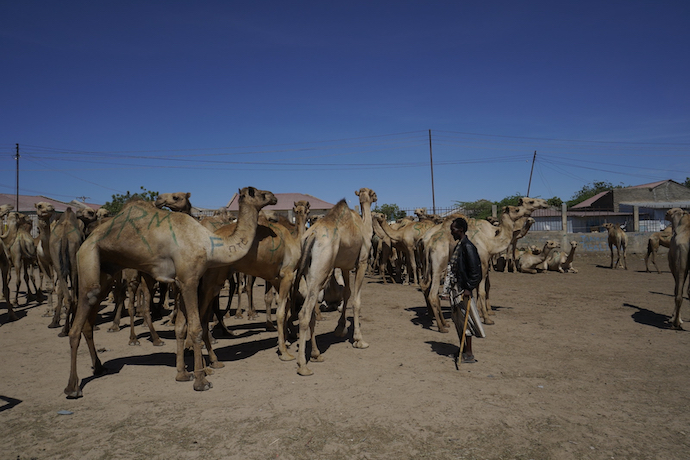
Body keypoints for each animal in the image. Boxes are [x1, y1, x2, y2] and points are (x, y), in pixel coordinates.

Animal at [63, 187, 274, 398]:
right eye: (259, 193)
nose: (273, 197)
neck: (209, 245)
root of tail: (87, 238)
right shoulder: (189, 280)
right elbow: (196, 328)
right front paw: (201, 380)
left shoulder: (181, 282)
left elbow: (181, 326)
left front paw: (183, 374)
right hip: (89, 256)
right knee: (78, 323)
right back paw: (73, 387)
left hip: (106, 271)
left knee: (89, 321)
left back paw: (99, 367)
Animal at [290, 188, 376, 378]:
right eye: (372, 193)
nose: (376, 197)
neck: (364, 227)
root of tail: (311, 236)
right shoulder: (362, 262)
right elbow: (356, 301)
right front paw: (359, 340)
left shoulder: (344, 266)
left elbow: (347, 293)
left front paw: (340, 328)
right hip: (321, 269)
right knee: (304, 313)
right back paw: (303, 366)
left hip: (309, 272)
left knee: (311, 311)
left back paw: (316, 355)